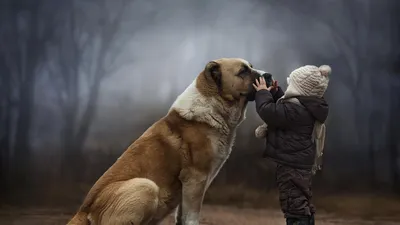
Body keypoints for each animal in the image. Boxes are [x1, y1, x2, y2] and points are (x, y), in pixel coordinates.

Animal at [67, 58, 262, 225]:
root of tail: (83, 211)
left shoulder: (189, 186)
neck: (214, 106)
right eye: (243, 71)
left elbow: (181, 216)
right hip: (146, 186)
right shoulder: (196, 178)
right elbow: (192, 216)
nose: (267, 75)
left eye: (251, 67)